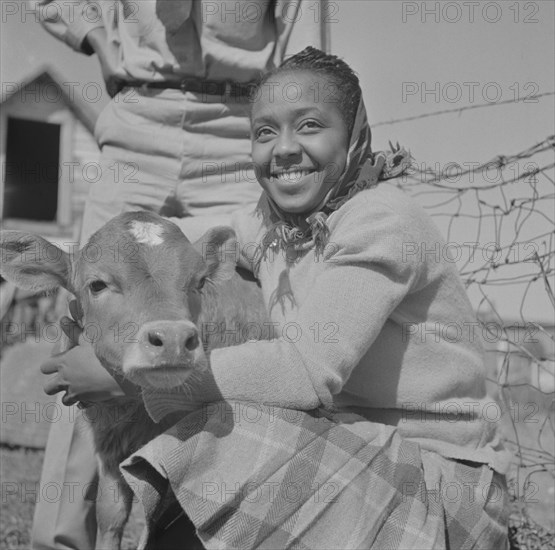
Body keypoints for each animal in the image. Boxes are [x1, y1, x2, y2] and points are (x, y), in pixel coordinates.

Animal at [0, 212, 270, 550]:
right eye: (97, 284)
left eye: (199, 282)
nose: (173, 338)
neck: (135, 414)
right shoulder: (108, 450)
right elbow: (110, 514)